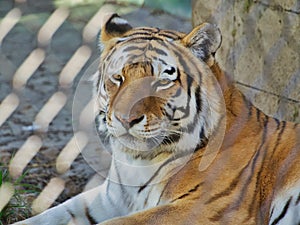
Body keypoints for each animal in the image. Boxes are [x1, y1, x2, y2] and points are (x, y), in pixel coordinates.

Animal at [13, 13, 300, 225]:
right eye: (118, 77)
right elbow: (52, 214)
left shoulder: (208, 208)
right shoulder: (109, 200)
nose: (125, 118)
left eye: (162, 81)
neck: (137, 161)